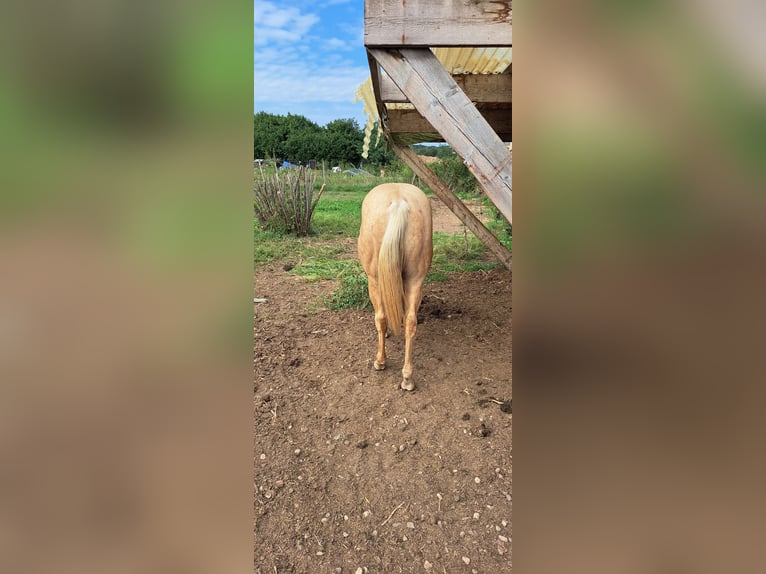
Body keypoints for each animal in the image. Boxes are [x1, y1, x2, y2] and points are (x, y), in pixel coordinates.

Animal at [358, 184, 432, 392]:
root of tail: (399, 202)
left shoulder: (375, 280)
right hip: (415, 279)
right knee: (411, 321)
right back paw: (407, 377)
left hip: (374, 279)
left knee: (381, 317)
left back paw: (380, 361)